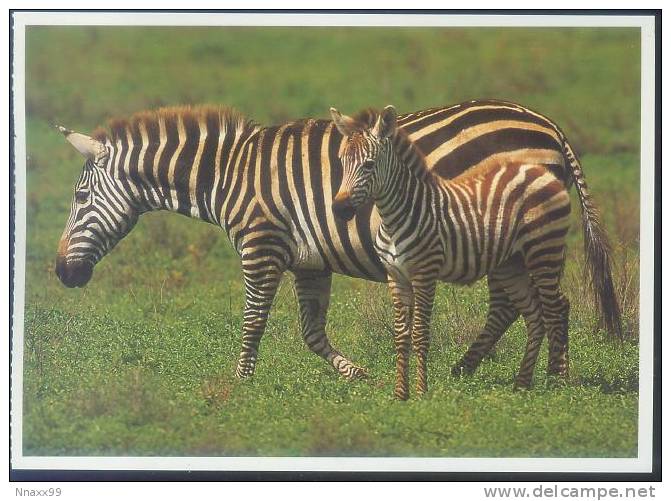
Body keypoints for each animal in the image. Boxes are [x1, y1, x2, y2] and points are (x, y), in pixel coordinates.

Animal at [55, 102, 596, 382]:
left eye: (79, 197)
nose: (61, 273)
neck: (228, 173)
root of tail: (546, 122)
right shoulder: (309, 261)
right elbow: (311, 333)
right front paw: (356, 374)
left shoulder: (261, 244)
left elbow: (253, 320)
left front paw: (239, 385)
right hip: (506, 244)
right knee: (514, 305)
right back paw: (469, 369)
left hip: (518, 234)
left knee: (536, 304)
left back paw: (551, 378)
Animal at [334, 104, 624, 398]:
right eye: (341, 162)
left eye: (369, 165)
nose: (339, 209)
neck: (396, 217)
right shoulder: (396, 276)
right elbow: (401, 335)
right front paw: (400, 394)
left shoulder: (425, 273)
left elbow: (420, 333)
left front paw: (421, 391)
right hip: (512, 264)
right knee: (535, 315)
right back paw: (522, 383)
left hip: (544, 250)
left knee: (555, 308)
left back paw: (556, 381)